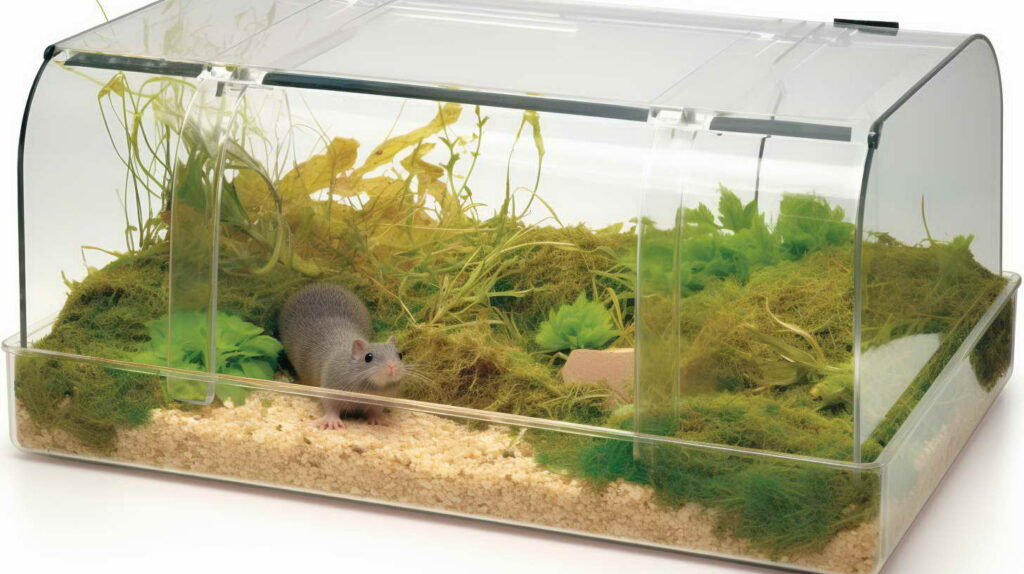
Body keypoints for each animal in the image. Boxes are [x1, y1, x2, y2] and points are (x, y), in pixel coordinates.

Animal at [278, 283, 405, 429]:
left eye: (400, 355)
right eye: (368, 357)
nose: (392, 366)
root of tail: (318, 284)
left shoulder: (378, 401)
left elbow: (374, 411)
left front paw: (377, 420)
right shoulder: (331, 392)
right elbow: (331, 409)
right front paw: (332, 422)